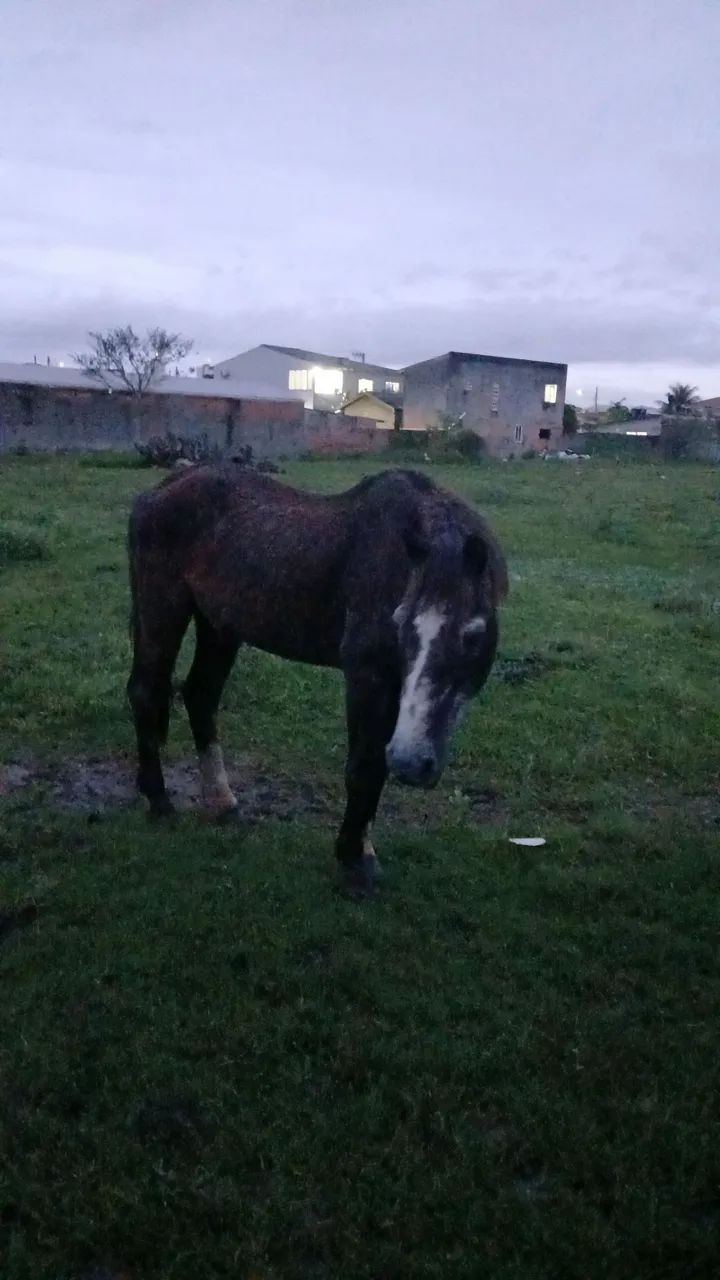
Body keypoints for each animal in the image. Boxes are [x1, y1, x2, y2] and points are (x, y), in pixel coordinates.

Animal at [127, 465, 508, 895]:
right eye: (400, 625)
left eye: (473, 635)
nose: (411, 763)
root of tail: (161, 488)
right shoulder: (366, 676)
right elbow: (365, 767)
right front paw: (353, 862)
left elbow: (377, 766)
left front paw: (363, 850)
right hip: (163, 609)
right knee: (145, 693)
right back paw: (160, 802)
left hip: (219, 625)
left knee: (200, 695)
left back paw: (222, 802)